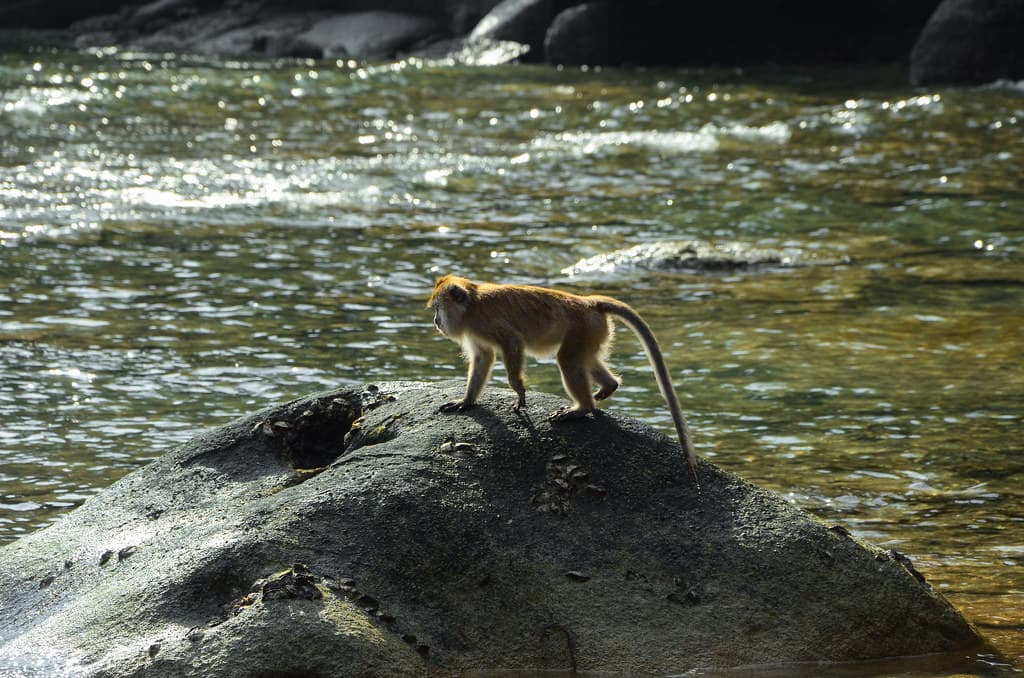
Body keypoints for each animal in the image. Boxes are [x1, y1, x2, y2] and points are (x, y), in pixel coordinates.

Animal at [427, 274, 698, 481]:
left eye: (439, 307)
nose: (436, 321)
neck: (472, 305)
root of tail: (588, 302)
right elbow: (483, 358)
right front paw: (466, 401)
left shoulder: (487, 322)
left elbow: (513, 343)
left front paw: (519, 391)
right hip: (593, 331)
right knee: (583, 360)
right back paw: (608, 386)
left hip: (584, 327)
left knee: (568, 360)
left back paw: (582, 408)